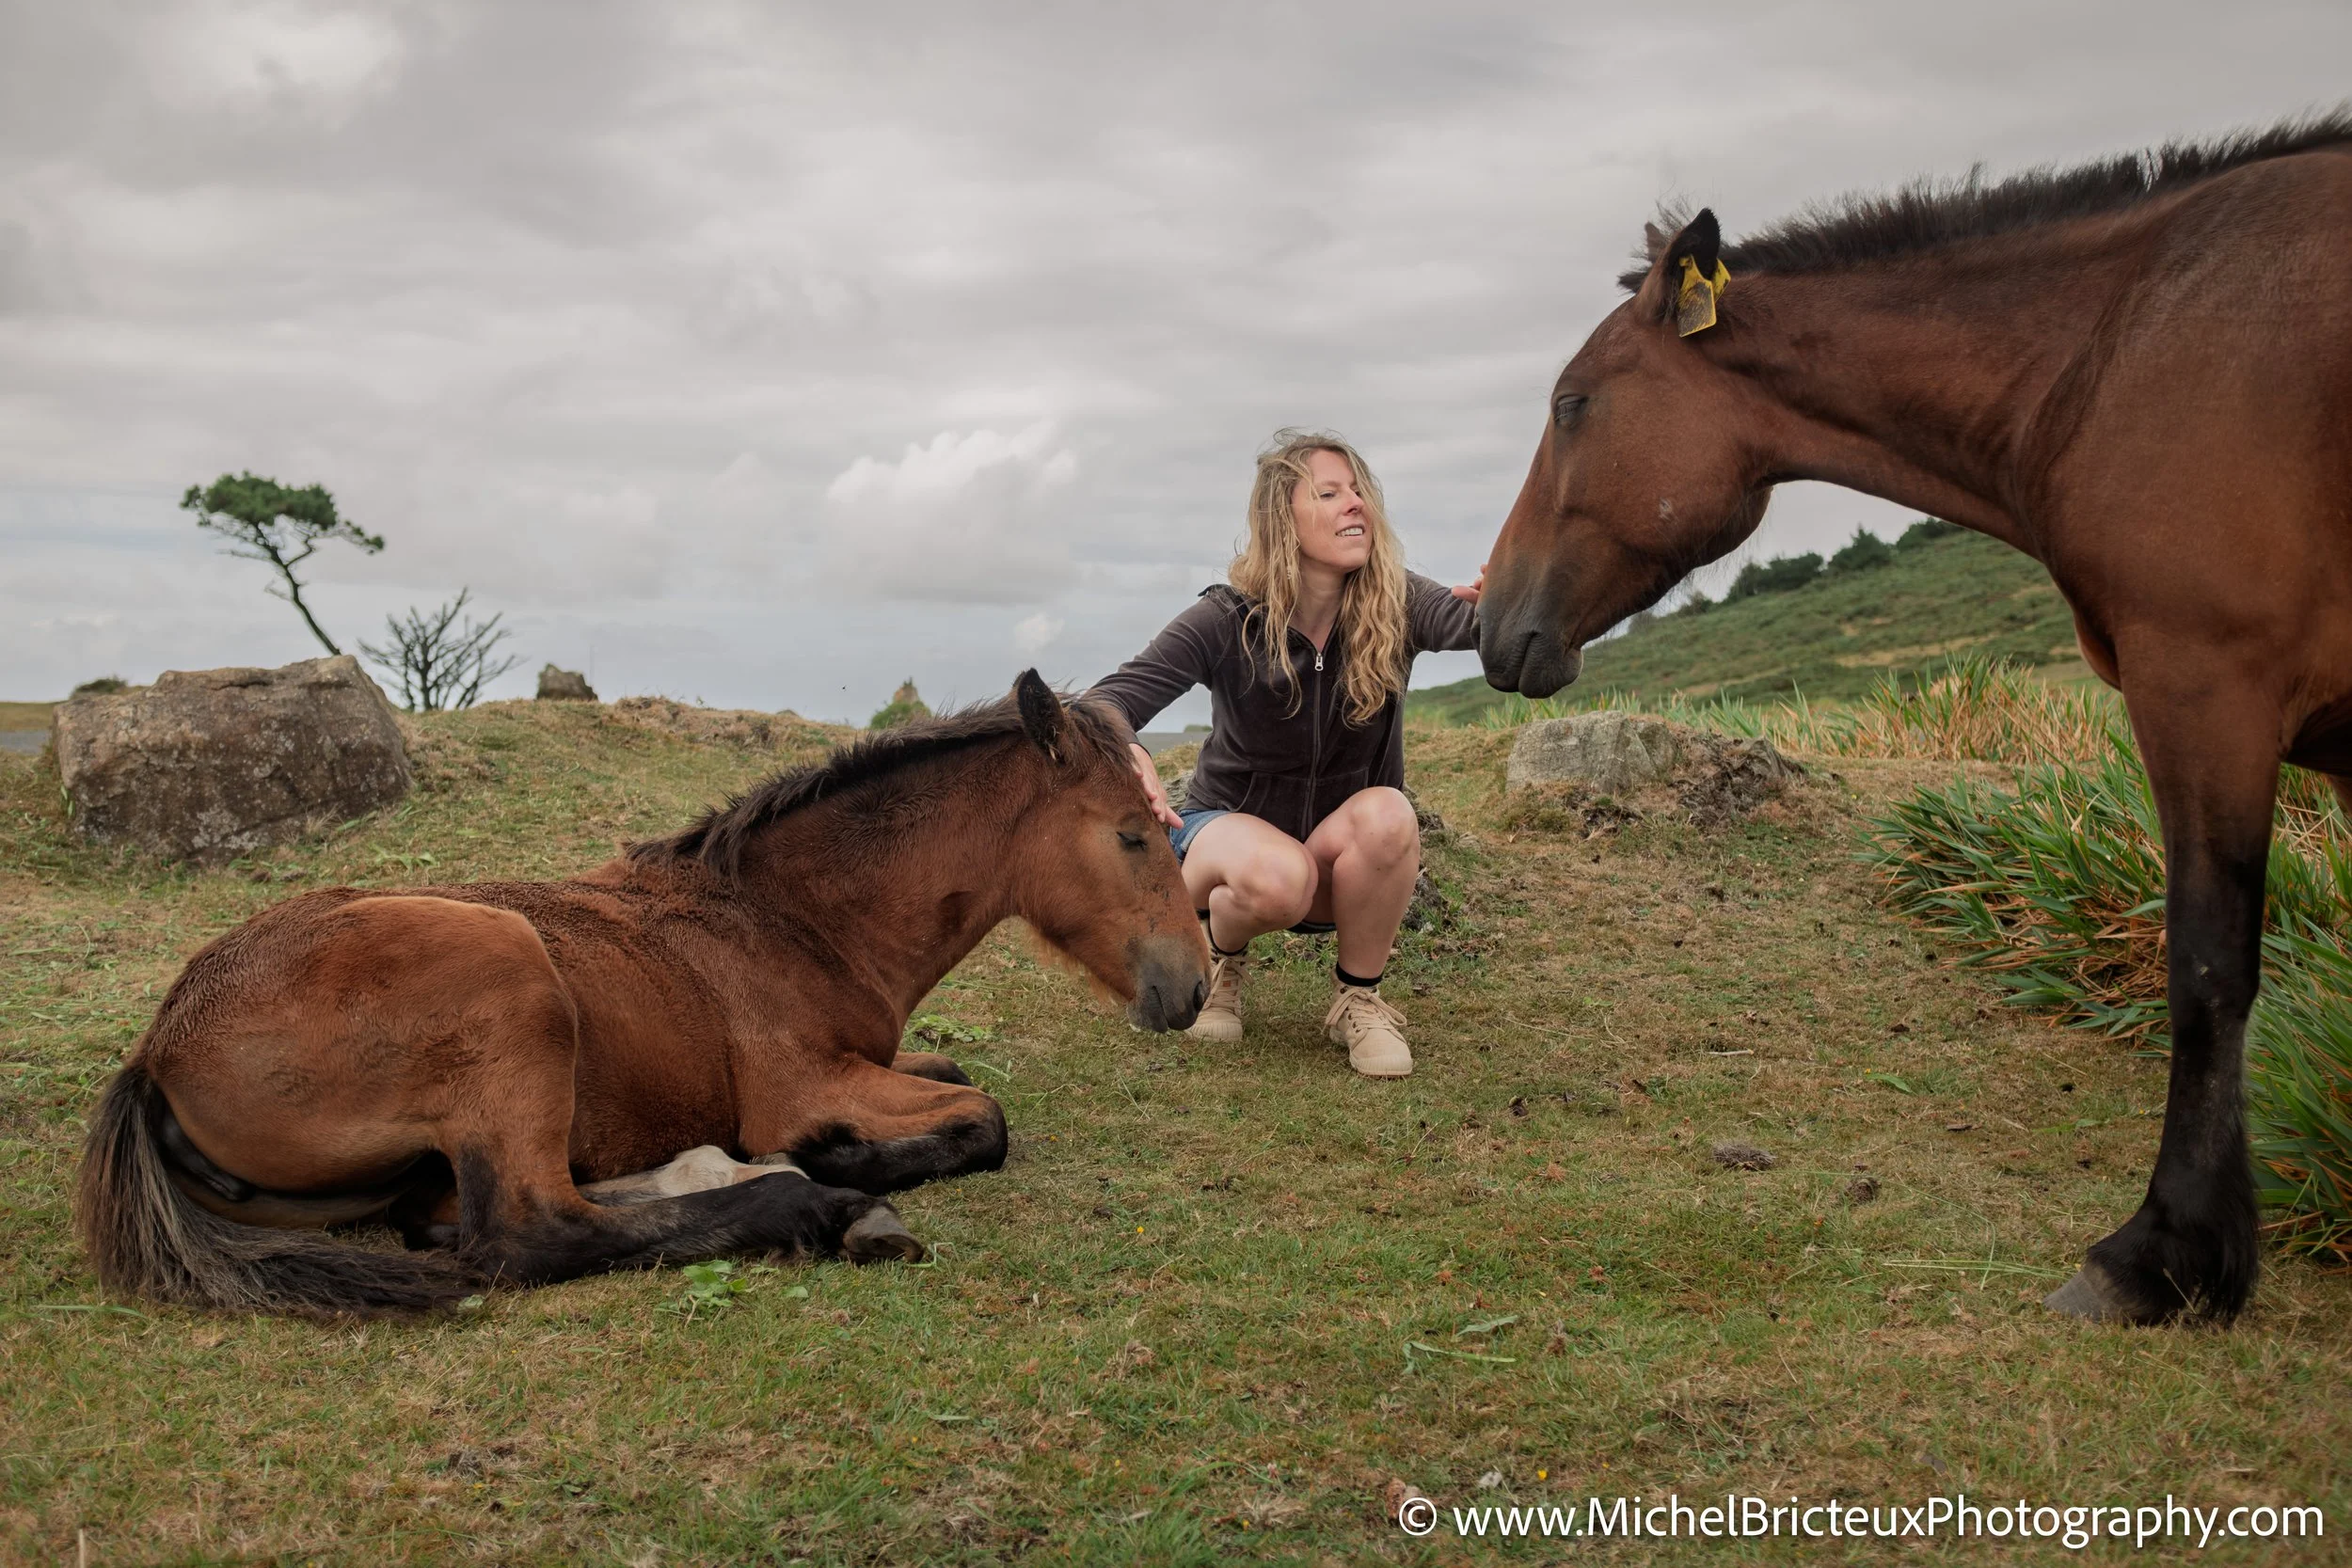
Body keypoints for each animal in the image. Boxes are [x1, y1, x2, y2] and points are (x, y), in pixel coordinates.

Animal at [75, 672, 1210, 1316]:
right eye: (1130, 833)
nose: (1193, 985)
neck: (784, 916)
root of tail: (158, 1052)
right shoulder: (801, 1083)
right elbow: (985, 1117)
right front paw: (835, 1155)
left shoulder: (876, 1058)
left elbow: (960, 1074)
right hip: (509, 982)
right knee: (528, 1231)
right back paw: (823, 1199)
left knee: (454, 1214)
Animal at [1475, 116, 2352, 1325]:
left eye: (1571, 404)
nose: (1487, 618)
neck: (2119, 346)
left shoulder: (2203, 686)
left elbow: (2208, 966)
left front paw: (2162, 1254)